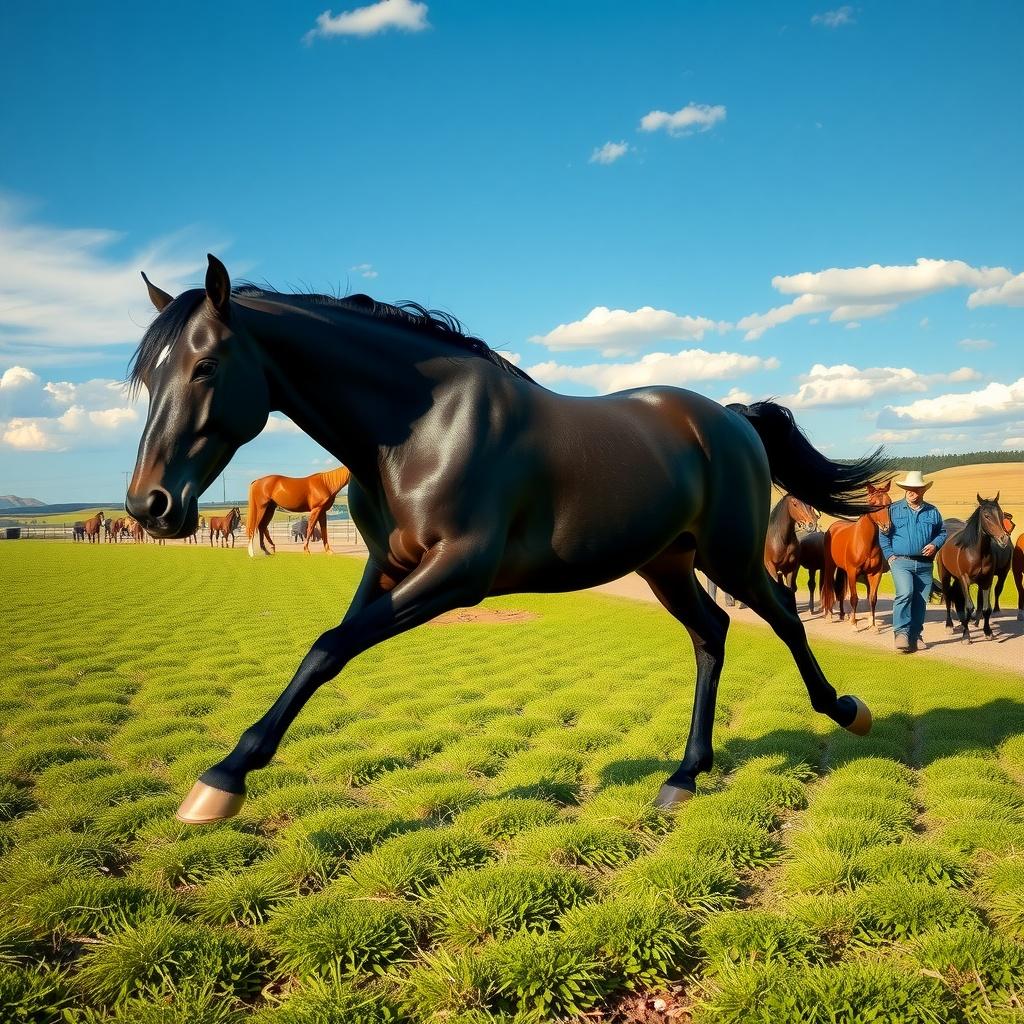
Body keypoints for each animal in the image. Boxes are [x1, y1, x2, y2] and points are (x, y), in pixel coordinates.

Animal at [820, 480, 893, 629]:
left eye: (889, 503)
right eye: (873, 504)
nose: (886, 527)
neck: (865, 543)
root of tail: (833, 527)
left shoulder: (875, 574)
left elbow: (872, 598)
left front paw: (873, 625)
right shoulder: (853, 572)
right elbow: (854, 598)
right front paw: (854, 624)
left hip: (843, 570)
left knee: (840, 591)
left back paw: (843, 615)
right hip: (831, 566)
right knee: (829, 586)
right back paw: (829, 614)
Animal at [938, 495, 1012, 643]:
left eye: (1001, 514)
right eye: (986, 516)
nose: (1003, 539)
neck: (976, 552)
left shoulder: (986, 580)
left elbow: (986, 608)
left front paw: (988, 632)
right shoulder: (965, 579)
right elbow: (969, 606)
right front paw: (966, 636)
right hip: (945, 575)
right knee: (948, 597)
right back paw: (949, 625)